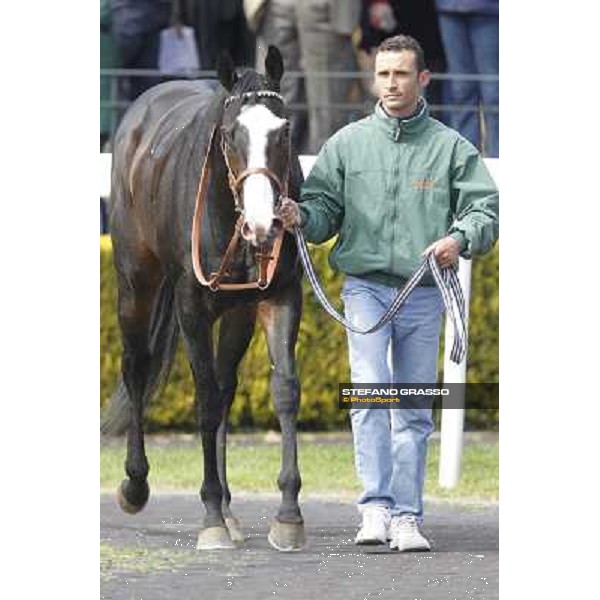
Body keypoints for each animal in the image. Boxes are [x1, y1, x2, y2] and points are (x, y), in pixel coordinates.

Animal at [104, 47, 304, 552]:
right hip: (136, 283)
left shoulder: (278, 297)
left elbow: (283, 390)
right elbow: (206, 399)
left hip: (237, 313)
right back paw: (136, 484)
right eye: (231, 134)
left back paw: (231, 509)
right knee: (137, 367)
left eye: (284, 131)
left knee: (227, 383)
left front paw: (287, 514)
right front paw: (211, 514)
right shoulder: (191, 306)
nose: (264, 225)